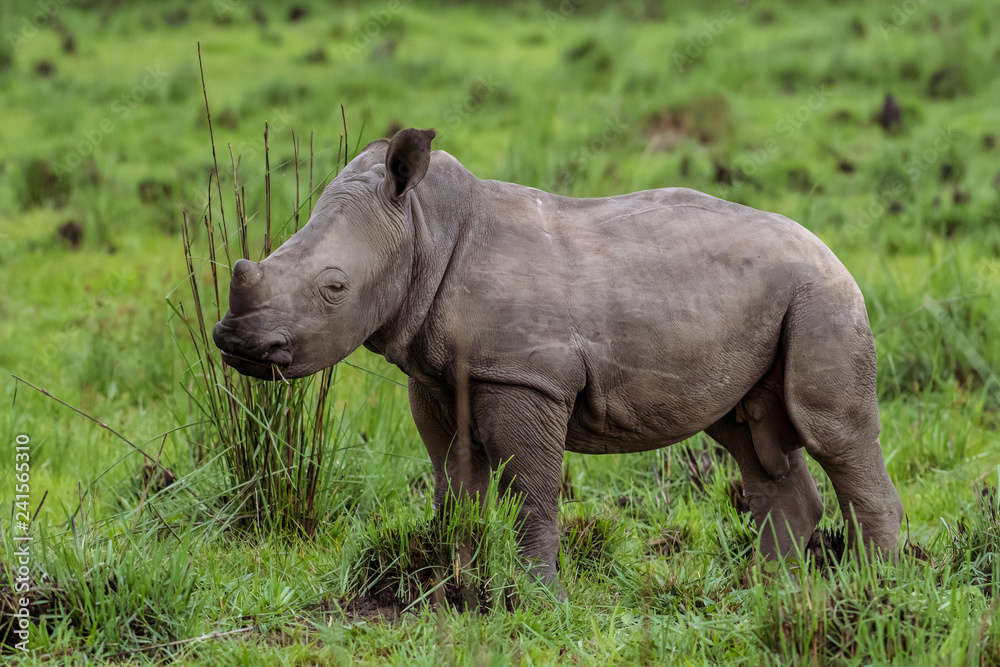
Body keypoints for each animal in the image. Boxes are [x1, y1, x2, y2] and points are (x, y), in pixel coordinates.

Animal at [213, 128, 904, 584]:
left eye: (334, 287)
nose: (236, 344)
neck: (423, 230)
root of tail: (830, 250)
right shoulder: (436, 377)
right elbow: (454, 482)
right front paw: (455, 581)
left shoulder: (529, 378)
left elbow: (533, 489)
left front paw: (537, 596)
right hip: (772, 301)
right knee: (745, 431)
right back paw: (767, 591)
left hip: (823, 296)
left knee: (832, 431)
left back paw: (875, 593)